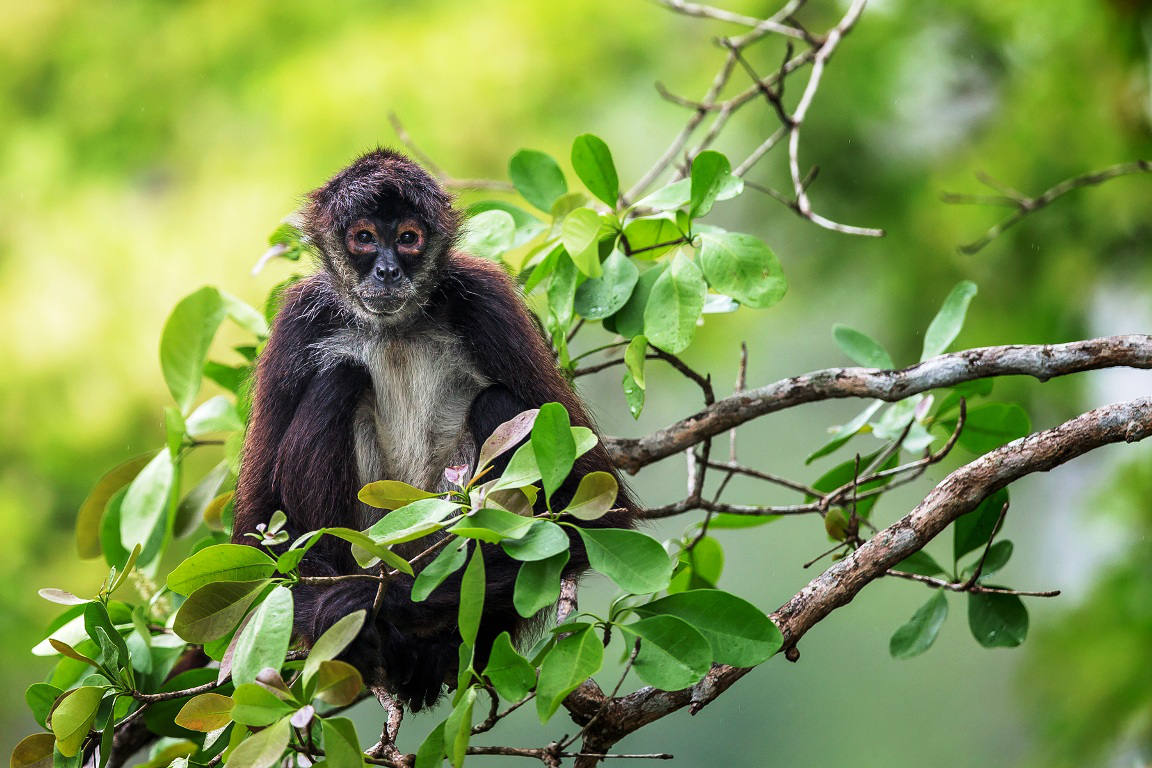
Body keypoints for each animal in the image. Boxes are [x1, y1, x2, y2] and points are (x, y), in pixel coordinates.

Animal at [232, 147, 640, 713]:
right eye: (364, 237)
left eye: (408, 237)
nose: (386, 269)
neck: (395, 328)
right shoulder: (299, 321)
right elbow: (258, 540)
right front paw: (341, 614)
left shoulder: (484, 297)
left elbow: (595, 518)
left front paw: (364, 604)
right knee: (339, 377)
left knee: (497, 401)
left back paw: (429, 646)